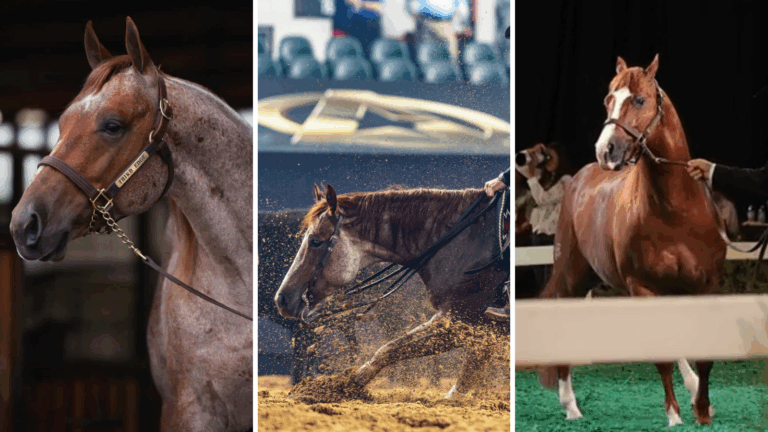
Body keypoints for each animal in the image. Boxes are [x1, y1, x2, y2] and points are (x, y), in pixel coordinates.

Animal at [275, 184, 509, 398]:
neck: (460, 241)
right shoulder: (471, 327)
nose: (282, 299)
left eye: (315, 241)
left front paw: (343, 387)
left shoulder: (461, 321)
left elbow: (390, 350)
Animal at [541, 55, 726, 426]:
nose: (605, 150)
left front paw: (702, 410)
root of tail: (580, 178)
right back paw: (571, 406)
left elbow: (703, 354)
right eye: (608, 100)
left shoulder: (705, 285)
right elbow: (661, 357)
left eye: (639, 100)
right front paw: (674, 416)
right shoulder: (642, 287)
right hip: (572, 277)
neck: (675, 209)